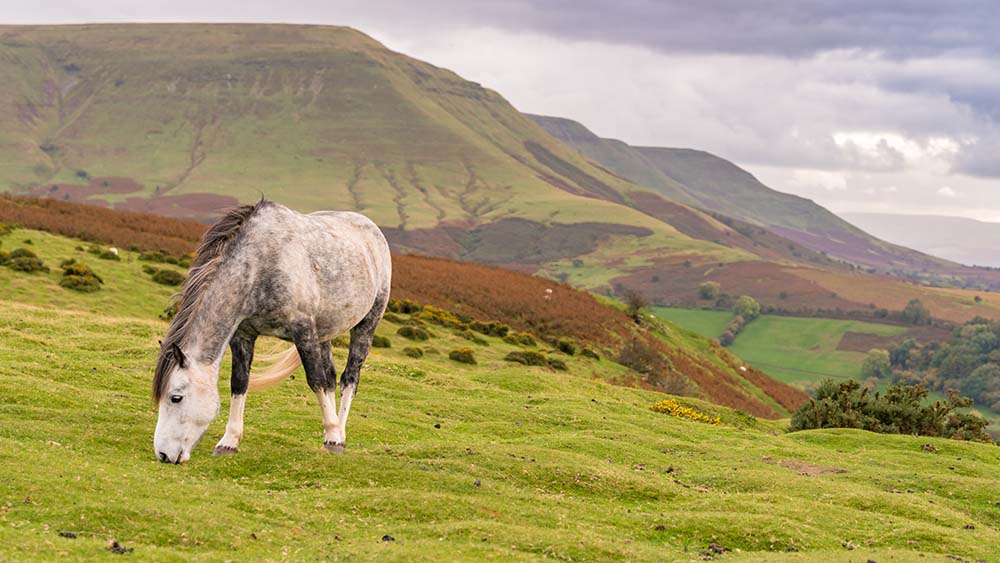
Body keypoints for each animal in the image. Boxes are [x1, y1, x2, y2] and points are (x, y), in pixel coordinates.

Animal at [152, 200, 390, 464]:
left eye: (176, 397)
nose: (163, 454)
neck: (259, 267)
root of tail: (370, 227)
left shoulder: (303, 332)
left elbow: (315, 380)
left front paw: (334, 438)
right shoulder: (243, 335)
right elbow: (240, 382)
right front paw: (229, 441)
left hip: (367, 323)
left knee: (349, 378)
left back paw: (340, 432)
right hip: (325, 332)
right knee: (330, 377)